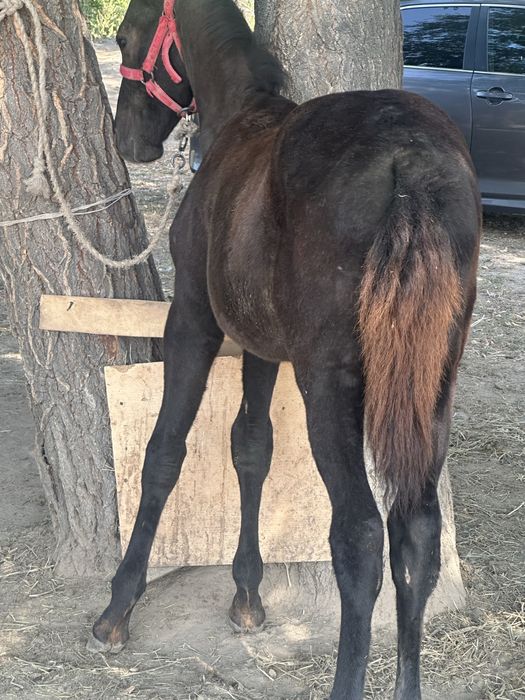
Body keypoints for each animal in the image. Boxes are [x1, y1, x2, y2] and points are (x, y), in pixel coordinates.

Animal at [89, 1, 481, 697]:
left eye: (125, 35)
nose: (128, 140)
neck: (240, 116)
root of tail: (412, 158)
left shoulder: (193, 322)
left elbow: (164, 452)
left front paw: (119, 606)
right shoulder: (260, 347)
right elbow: (252, 447)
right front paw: (247, 594)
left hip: (329, 384)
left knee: (359, 534)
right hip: (431, 389)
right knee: (416, 533)